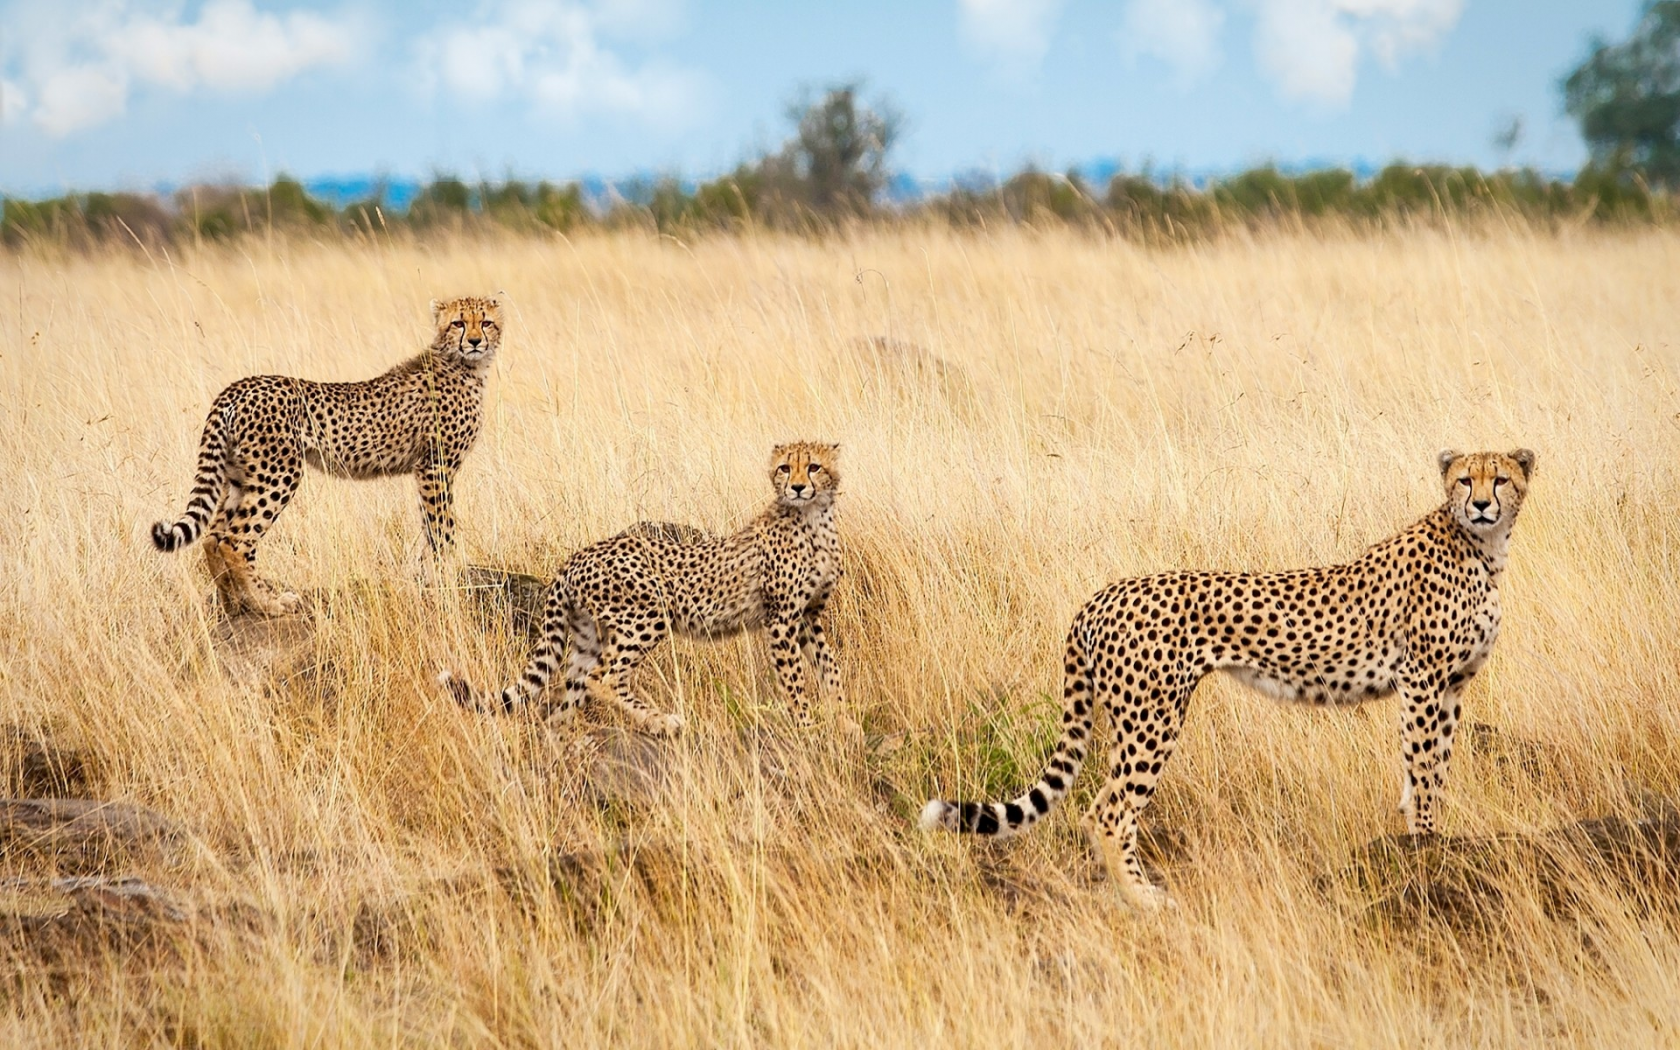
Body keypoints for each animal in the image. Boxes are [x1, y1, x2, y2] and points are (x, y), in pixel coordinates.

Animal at [152, 295, 497, 614]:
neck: (463, 365)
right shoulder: (435, 467)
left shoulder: (429, 470)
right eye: (459, 323)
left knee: (213, 536)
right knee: (235, 541)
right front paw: (445, 578)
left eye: (486, 322)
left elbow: (431, 526)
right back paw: (268, 604)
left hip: (239, 477)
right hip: (278, 475)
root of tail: (240, 386)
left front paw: (432, 576)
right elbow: (442, 528)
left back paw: (234, 604)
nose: (475, 341)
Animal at [443, 443, 846, 735]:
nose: (797, 487)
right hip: (647, 615)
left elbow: (829, 668)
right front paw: (807, 725)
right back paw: (662, 721)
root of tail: (577, 555)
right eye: (785, 467)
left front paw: (843, 719)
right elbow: (794, 678)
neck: (814, 517)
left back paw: (564, 746)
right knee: (603, 678)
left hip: (588, 637)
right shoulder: (781, 618)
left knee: (565, 696)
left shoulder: (809, 615)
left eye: (814, 467)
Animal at [920, 446, 1538, 907]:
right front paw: (1428, 845)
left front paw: (1421, 836)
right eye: (1465, 479)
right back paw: (1145, 901)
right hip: (1153, 720)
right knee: (1108, 813)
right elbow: (1426, 765)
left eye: (1501, 479)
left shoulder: (1450, 686)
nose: (1483, 505)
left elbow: (1428, 767)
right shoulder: (1424, 680)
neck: (1483, 548)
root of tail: (1103, 594)